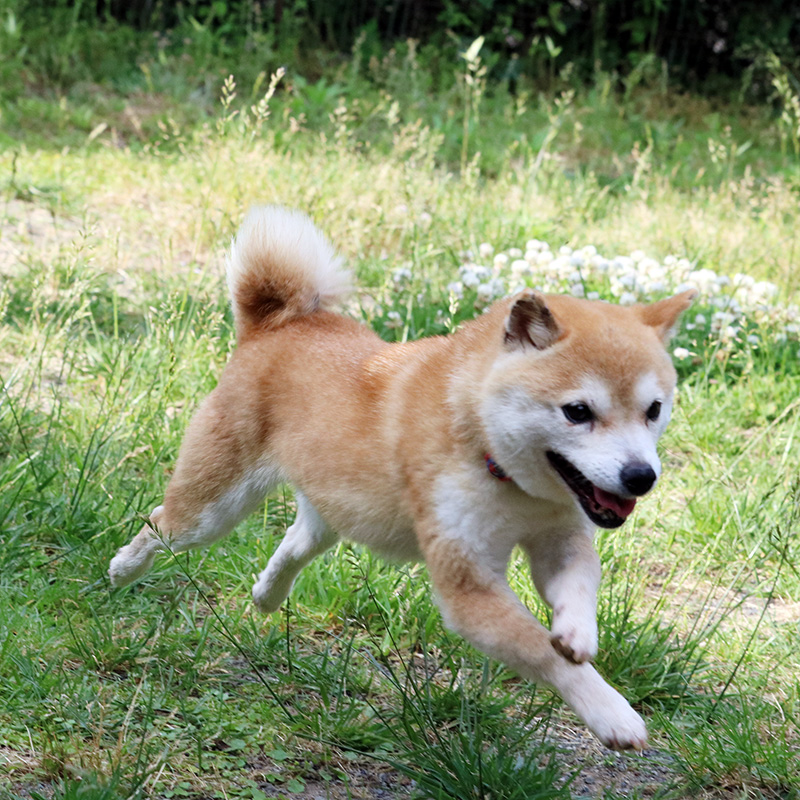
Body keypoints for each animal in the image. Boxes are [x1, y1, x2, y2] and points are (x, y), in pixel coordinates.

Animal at [109, 205, 696, 752]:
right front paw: (612, 714)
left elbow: (580, 584)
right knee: (161, 523)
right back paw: (123, 568)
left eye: (653, 409)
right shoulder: (468, 585)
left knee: (296, 541)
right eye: (577, 411)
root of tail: (279, 325)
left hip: (337, 508)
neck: (495, 464)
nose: (640, 476)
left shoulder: (559, 533)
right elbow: (543, 655)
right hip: (213, 509)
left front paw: (577, 632)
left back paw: (266, 594)